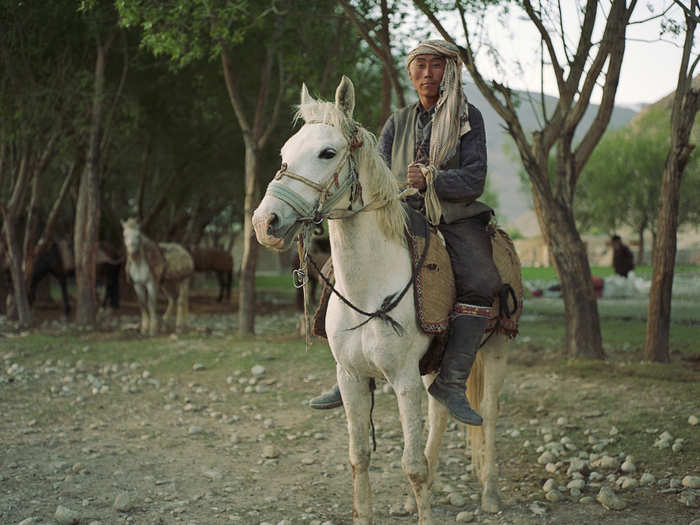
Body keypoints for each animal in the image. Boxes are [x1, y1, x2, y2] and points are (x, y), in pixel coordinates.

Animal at [253, 79, 520, 524]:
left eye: (328, 153)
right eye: (285, 152)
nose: (264, 223)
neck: (370, 285)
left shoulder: (404, 380)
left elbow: (411, 466)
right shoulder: (352, 378)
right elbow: (359, 455)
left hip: (497, 348)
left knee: (489, 414)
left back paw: (491, 495)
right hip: (436, 365)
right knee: (441, 409)